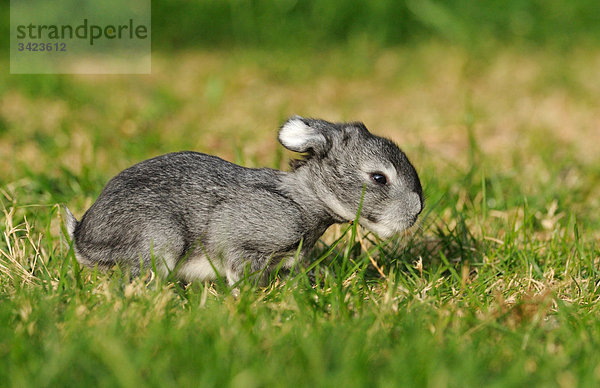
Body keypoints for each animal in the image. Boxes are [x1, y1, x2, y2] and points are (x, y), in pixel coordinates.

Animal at [64, 116, 422, 284]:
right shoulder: (242, 244)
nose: (417, 211)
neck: (302, 199)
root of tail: (81, 238)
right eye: (379, 178)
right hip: (161, 240)